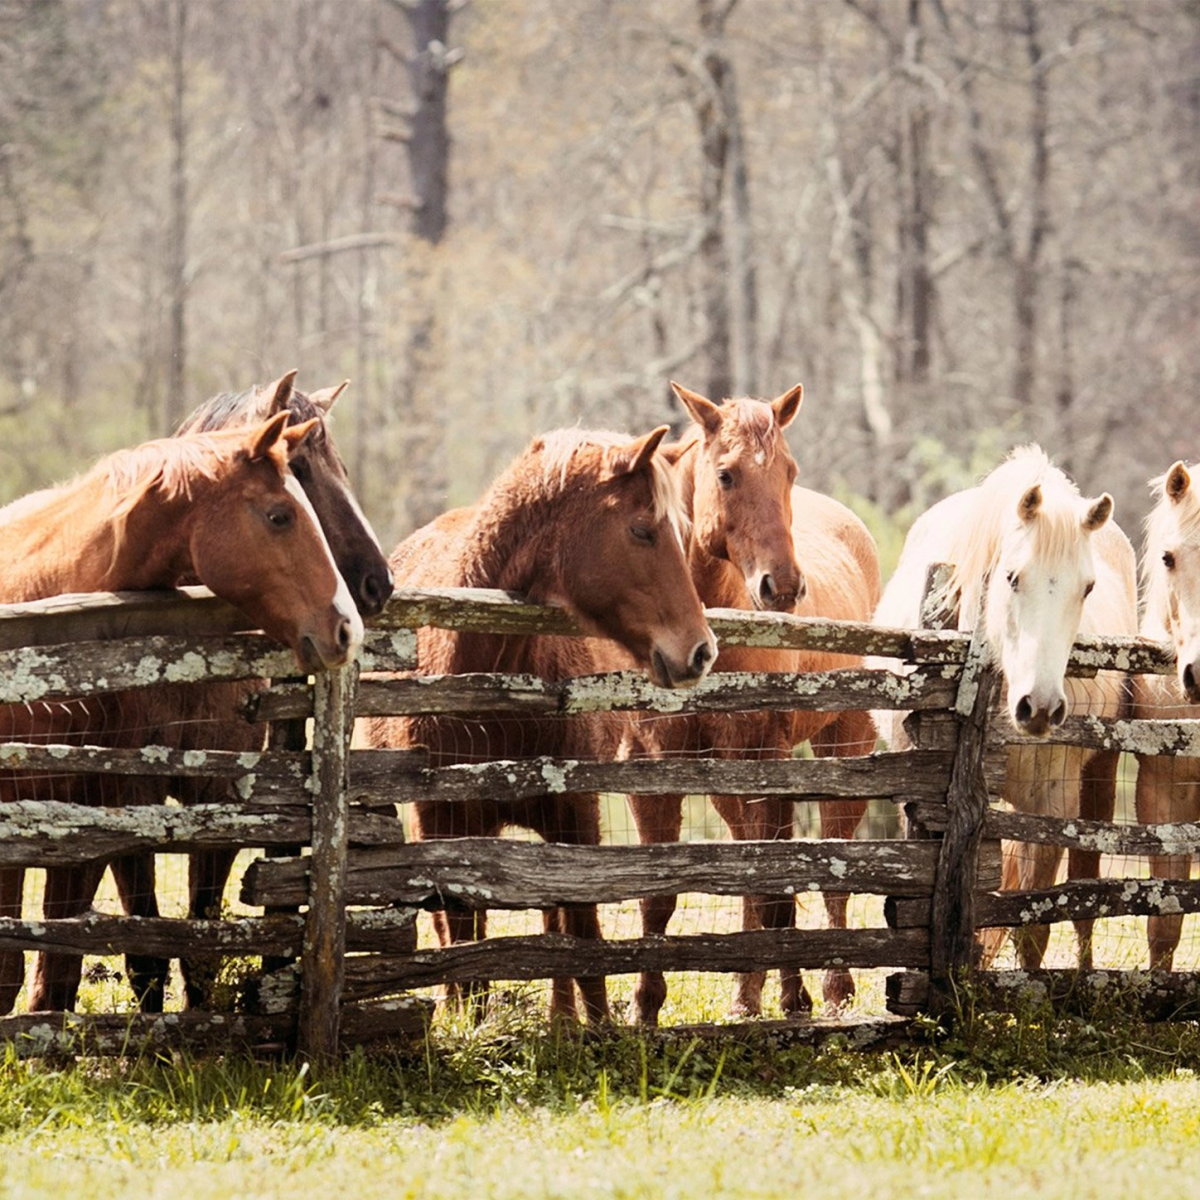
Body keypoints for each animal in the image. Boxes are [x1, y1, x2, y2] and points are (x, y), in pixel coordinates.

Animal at [25, 371, 394, 1014]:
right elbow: (147, 950)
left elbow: (203, 945)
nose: (379, 584)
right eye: (300, 467)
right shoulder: (128, 801)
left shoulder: (221, 800)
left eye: (341, 466)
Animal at [362, 425, 717, 1025]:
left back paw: (562, 1018)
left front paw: (595, 1029)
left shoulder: (575, 817)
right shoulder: (442, 823)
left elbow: (582, 933)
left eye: (682, 532)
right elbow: (462, 938)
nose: (700, 652)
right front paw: (467, 1022)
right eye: (641, 530)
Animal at [625, 382, 881, 1024]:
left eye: (789, 471)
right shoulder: (649, 765)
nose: (783, 586)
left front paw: (792, 996)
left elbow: (774, 888)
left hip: (844, 745)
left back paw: (830, 988)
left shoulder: (767, 756)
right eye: (726, 474)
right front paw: (645, 1005)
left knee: (830, 867)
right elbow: (658, 894)